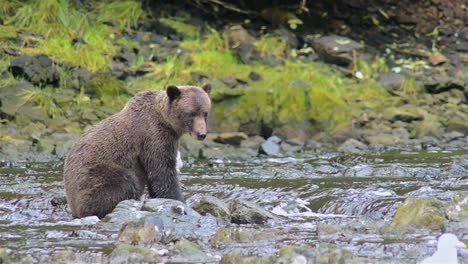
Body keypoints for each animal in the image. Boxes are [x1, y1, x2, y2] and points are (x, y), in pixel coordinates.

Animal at [63, 85, 212, 219]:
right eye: (191, 113)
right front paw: (179, 200)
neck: (167, 122)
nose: (202, 134)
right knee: (123, 182)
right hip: (94, 174)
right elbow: (162, 172)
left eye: (205, 113)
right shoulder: (153, 137)